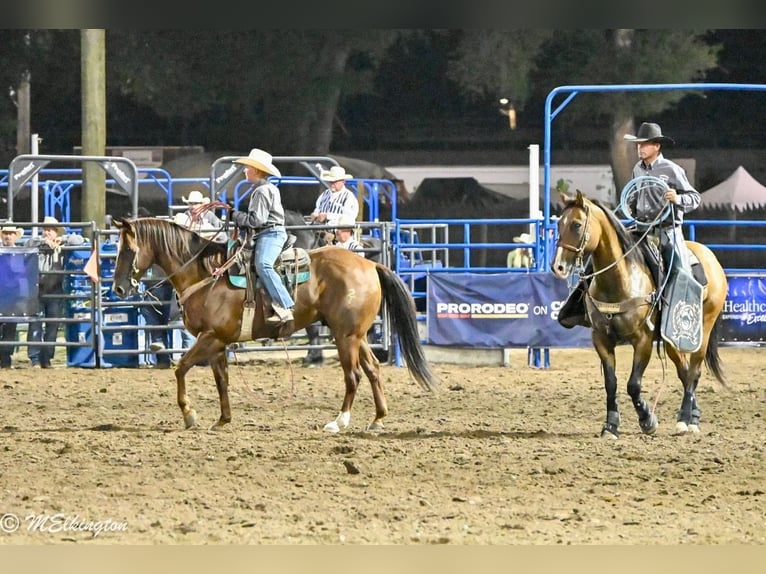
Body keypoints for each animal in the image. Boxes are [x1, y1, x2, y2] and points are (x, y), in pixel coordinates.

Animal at [110, 217, 438, 431]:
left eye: (127, 250)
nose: (119, 289)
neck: (206, 274)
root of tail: (370, 263)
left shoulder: (209, 338)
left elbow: (180, 369)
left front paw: (190, 415)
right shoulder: (217, 343)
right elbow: (221, 381)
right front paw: (223, 419)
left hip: (345, 336)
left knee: (353, 375)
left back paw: (338, 421)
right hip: (356, 335)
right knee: (373, 370)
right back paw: (377, 419)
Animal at [551, 190, 728, 438]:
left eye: (576, 225)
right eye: (559, 223)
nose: (557, 267)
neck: (620, 279)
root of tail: (711, 258)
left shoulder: (643, 340)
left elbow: (633, 384)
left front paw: (647, 419)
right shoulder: (601, 339)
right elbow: (611, 383)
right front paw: (611, 426)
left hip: (702, 330)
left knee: (694, 371)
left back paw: (687, 422)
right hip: (671, 340)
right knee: (684, 372)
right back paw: (692, 415)